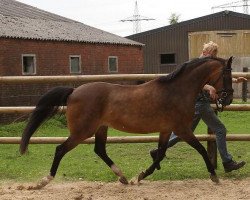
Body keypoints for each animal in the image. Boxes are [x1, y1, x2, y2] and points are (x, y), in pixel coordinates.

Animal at [20, 55, 233, 189]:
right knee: (60, 149)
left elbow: (160, 154)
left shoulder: (166, 130)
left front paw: (139, 176)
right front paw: (214, 176)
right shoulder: (182, 129)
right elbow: (201, 149)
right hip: (82, 131)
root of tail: (73, 92)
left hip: (100, 128)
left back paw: (122, 177)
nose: (229, 98)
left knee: (100, 150)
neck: (177, 91)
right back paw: (43, 182)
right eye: (227, 75)